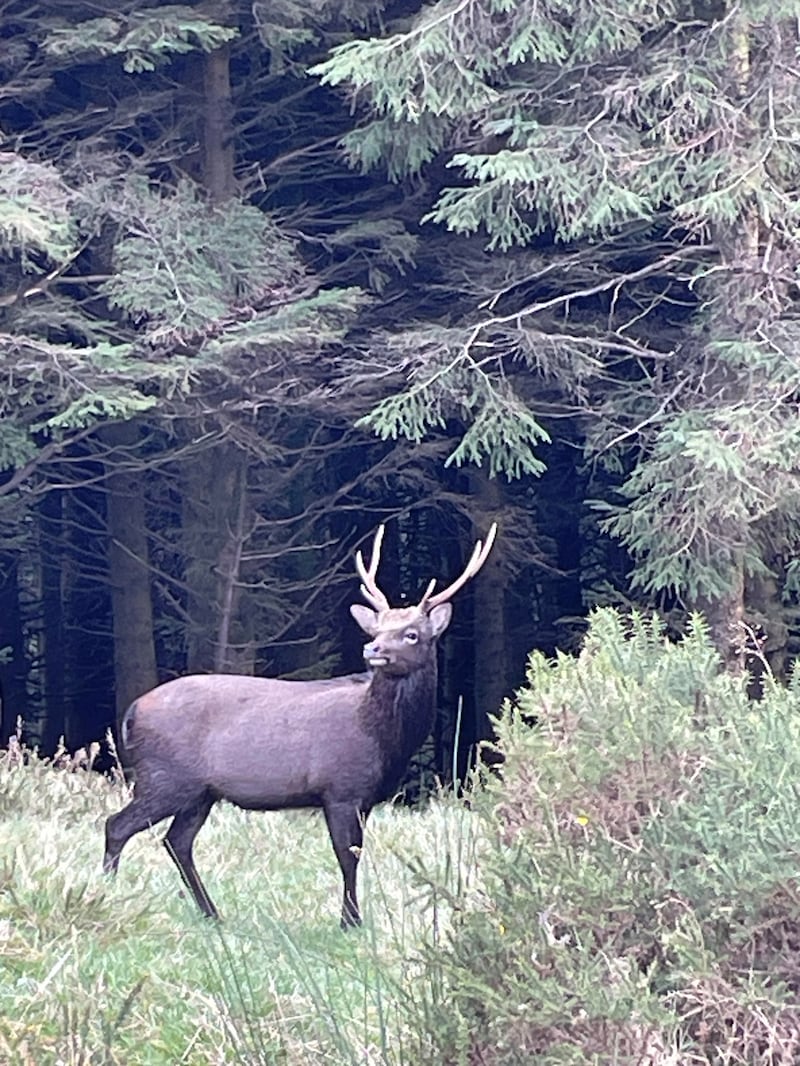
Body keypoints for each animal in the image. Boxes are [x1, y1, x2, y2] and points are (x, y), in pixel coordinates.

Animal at [103, 522, 497, 927]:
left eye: (412, 634)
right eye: (377, 630)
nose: (372, 649)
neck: (384, 738)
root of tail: (132, 712)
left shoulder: (367, 797)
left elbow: (355, 851)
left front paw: (350, 917)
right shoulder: (339, 788)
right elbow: (347, 854)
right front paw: (350, 921)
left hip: (199, 791)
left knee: (176, 841)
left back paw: (212, 914)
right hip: (166, 777)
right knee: (118, 825)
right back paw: (109, 892)